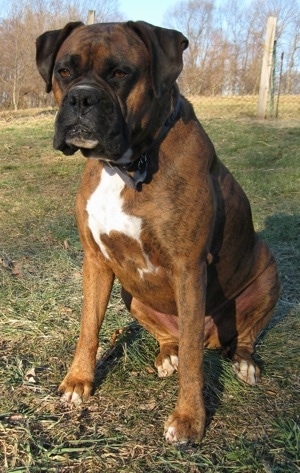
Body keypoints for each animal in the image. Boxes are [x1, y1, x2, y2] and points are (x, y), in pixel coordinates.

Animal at [36, 21, 280, 442]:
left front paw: (189, 419)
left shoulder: (189, 268)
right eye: (64, 71)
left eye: (121, 73)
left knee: (238, 337)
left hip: (268, 274)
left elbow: (195, 361)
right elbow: (88, 327)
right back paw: (167, 355)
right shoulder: (96, 261)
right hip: (131, 295)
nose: (81, 98)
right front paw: (78, 381)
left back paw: (244, 363)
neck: (125, 165)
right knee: (174, 340)